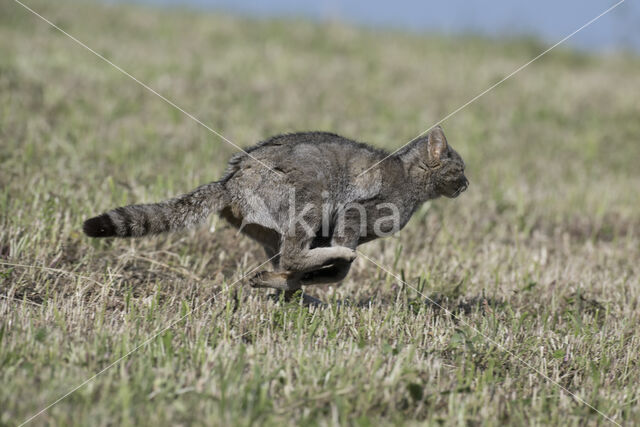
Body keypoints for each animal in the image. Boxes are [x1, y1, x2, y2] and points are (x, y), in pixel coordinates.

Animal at [82, 125, 468, 300]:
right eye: (460, 169)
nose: (467, 184)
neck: (411, 178)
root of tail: (231, 180)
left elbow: (326, 272)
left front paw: (298, 283)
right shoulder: (354, 213)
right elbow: (340, 268)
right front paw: (320, 272)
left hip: (268, 229)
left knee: (284, 259)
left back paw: (282, 283)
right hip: (311, 199)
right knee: (295, 255)